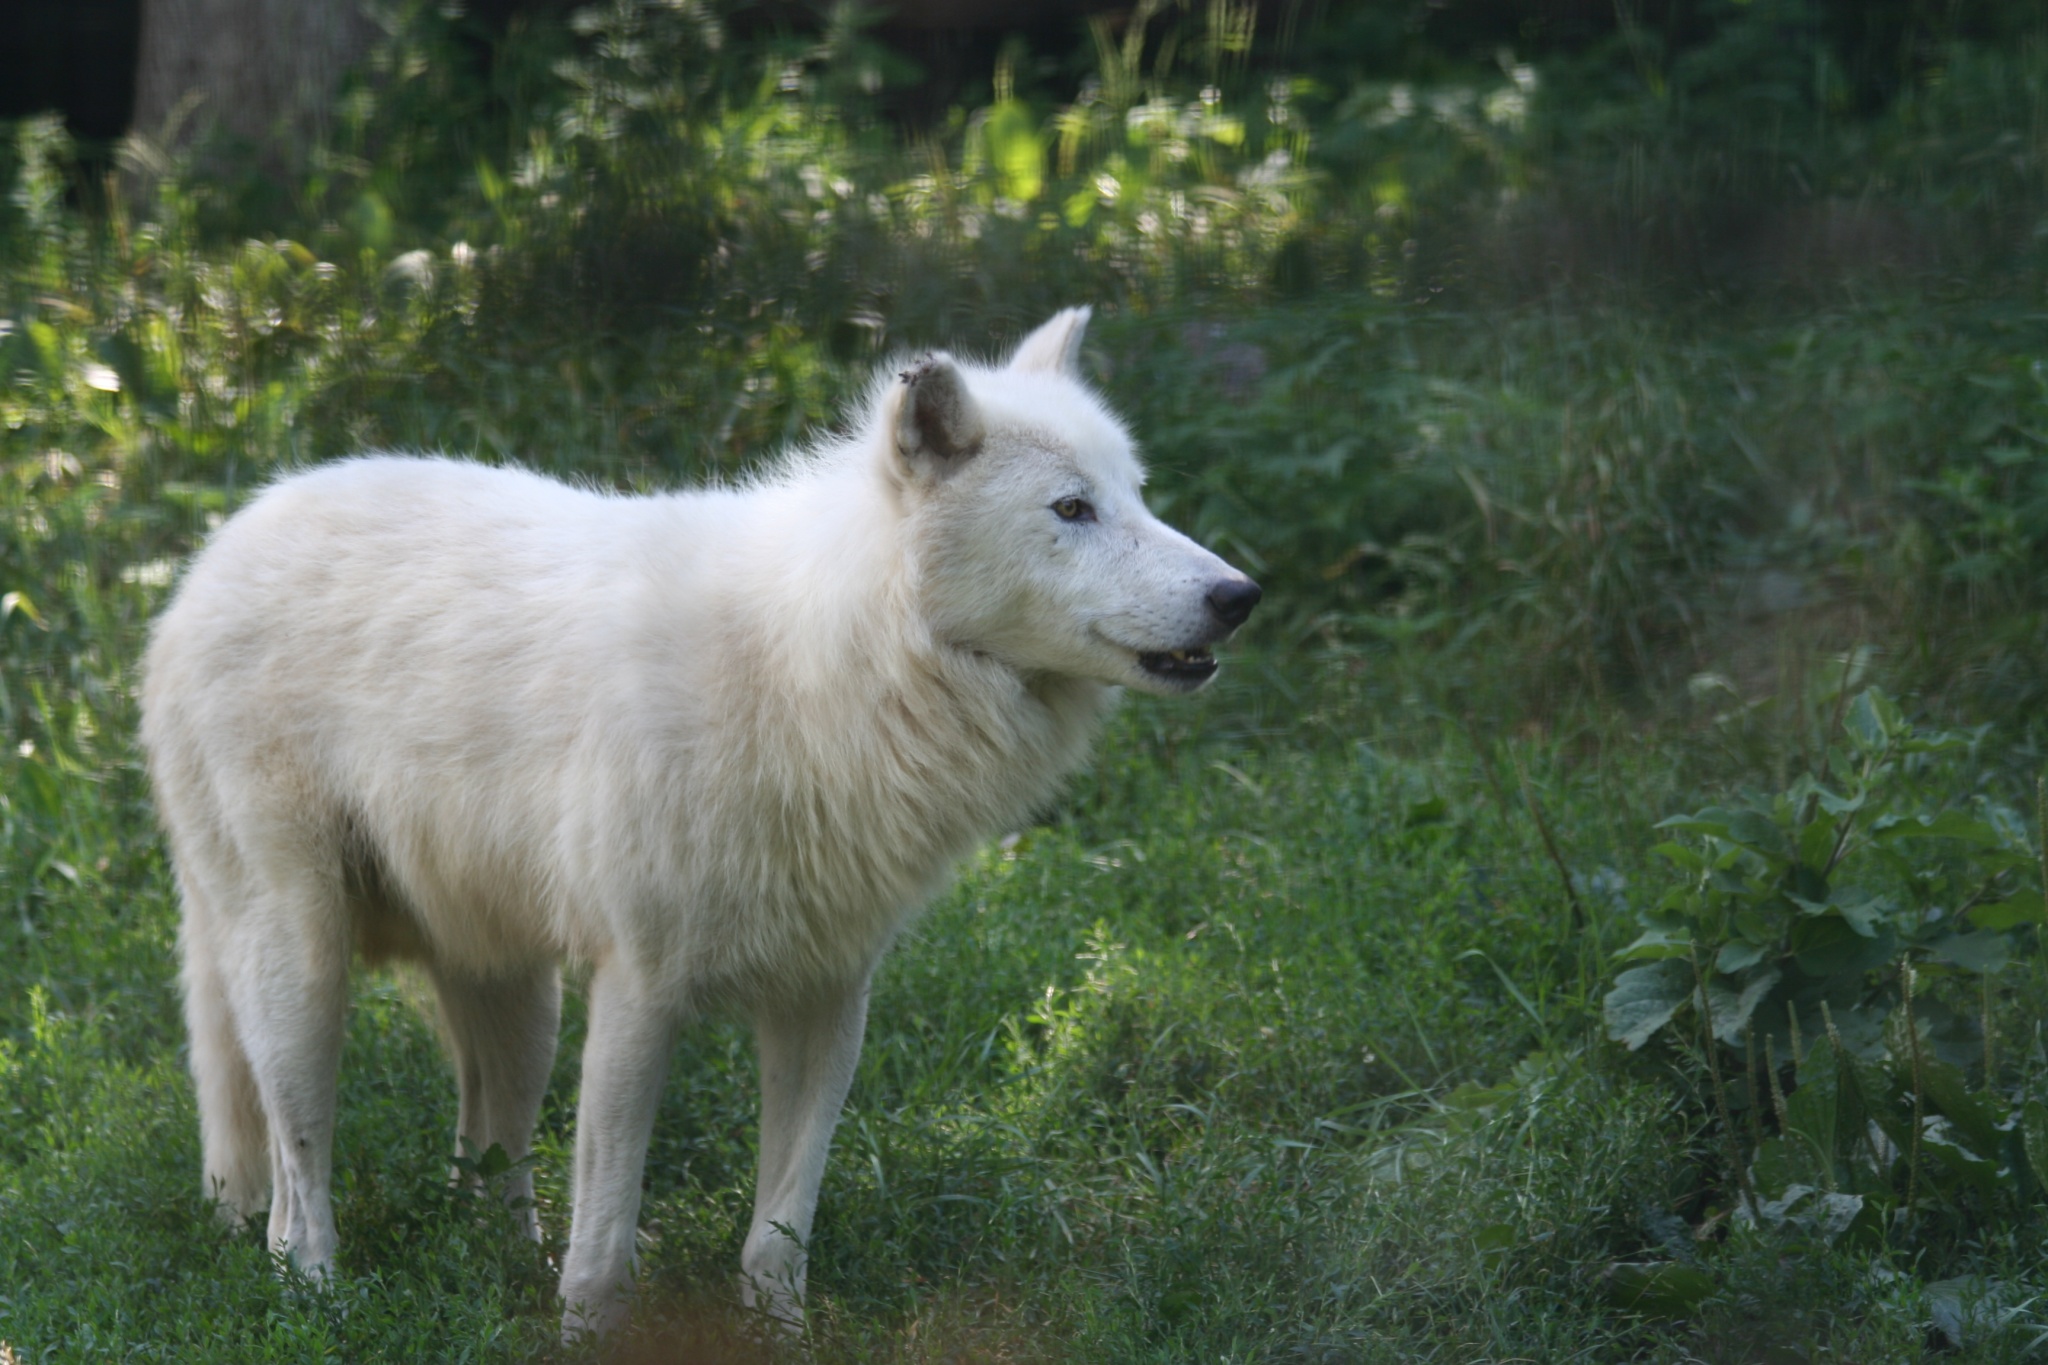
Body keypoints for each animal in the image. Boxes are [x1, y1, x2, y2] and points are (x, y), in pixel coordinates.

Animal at [136, 306, 1253, 1334]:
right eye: (1070, 508)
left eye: (1138, 495)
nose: (1239, 593)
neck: (825, 671)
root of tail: (213, 553)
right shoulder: (639, 992)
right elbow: (606, 1251)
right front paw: (586, 1343)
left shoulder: (825, 1000)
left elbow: (779, 1233)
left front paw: (780, 1340)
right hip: (304, 971)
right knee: (295, 1187)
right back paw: (320, 1301)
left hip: (521, 1003)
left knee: (485, 1164)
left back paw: (494, 1267)